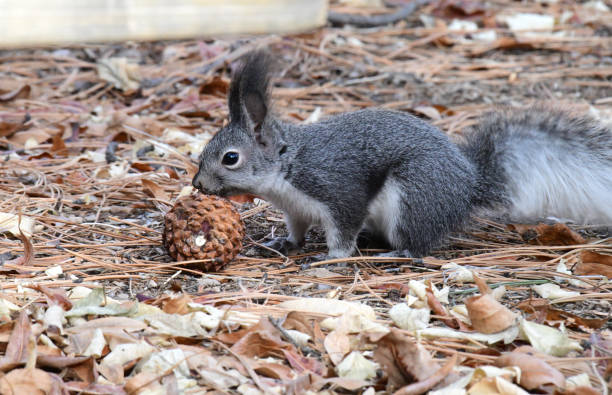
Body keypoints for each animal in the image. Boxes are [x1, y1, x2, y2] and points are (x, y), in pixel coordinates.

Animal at [192, 50, 612, 260]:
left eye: (230, 158)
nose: (197, 185)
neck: (289, 166)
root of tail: (468, 184)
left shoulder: (337, 190)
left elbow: (343, 230)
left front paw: (330, 257)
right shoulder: (295, 208)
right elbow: (296, 228)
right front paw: (286, 243)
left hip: (414, 195)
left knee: (416, 248)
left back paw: (392, 254)